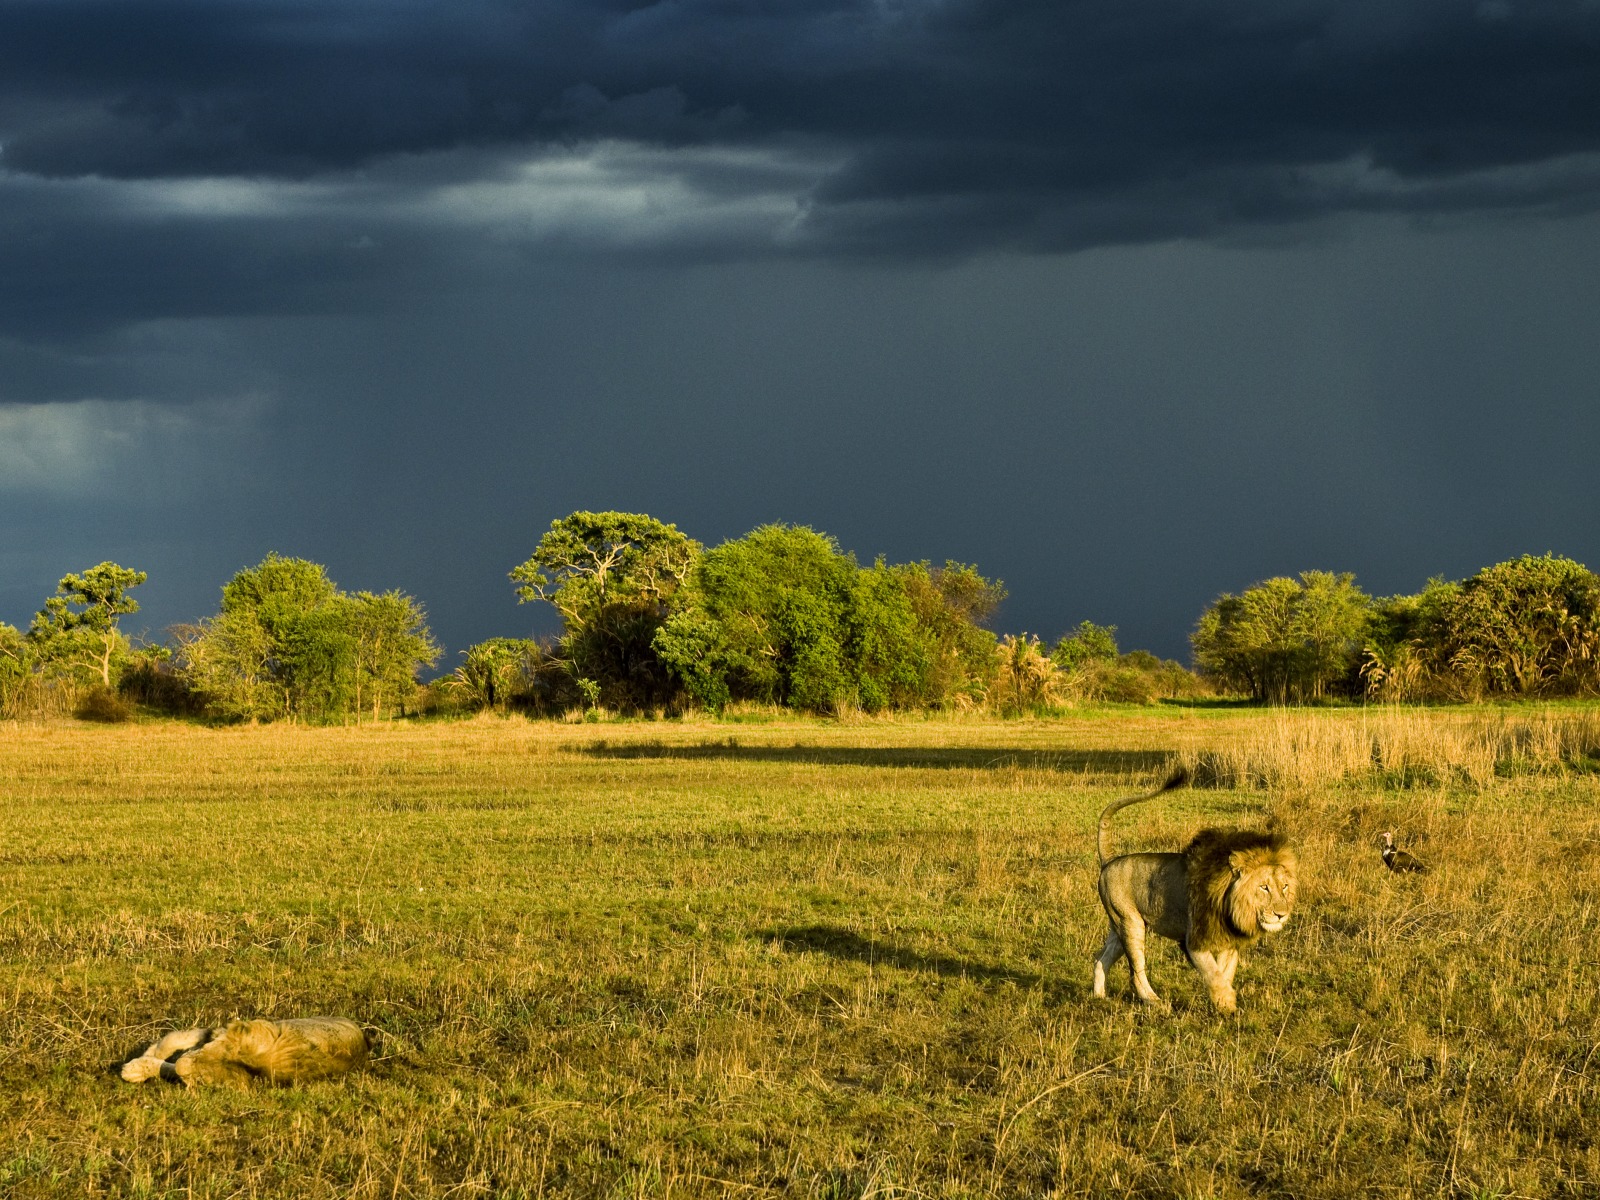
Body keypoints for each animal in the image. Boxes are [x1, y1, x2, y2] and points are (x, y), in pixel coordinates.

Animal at [1090, 768, 1296, 1013]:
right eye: (1264, 887)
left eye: (1284, 886)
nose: (1281, 914)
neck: (1230, 904)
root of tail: (1109, 861)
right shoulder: (1194, 939)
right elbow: (1213, 972)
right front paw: (1226, 1003)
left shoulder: (1228, 941)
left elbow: (1225, 972)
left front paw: (1223, 1003)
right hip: (1131, 922)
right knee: (1136, 971)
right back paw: (1155, 1002)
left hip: (1119, 925)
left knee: (1100, 958)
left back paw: (1099, 997)